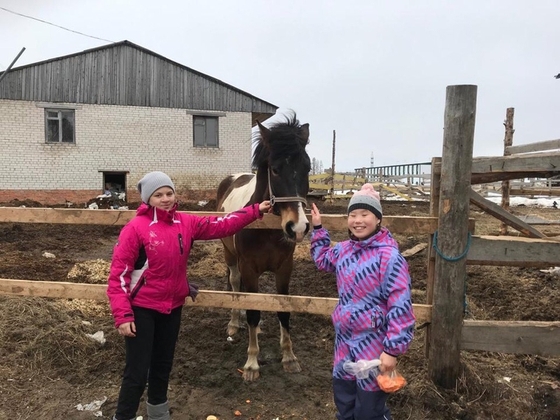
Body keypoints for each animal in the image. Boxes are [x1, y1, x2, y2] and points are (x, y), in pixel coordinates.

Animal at [215, 113, 310, 382]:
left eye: (307, 168)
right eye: (275, 170)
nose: (298, 227)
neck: (266, 228)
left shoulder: (285, 268)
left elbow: (283, 310)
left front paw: (289, 358)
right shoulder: (249, 269)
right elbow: (252, 313)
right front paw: (251, 364)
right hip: (230, 256)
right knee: (235, 286)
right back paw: (234, 324)